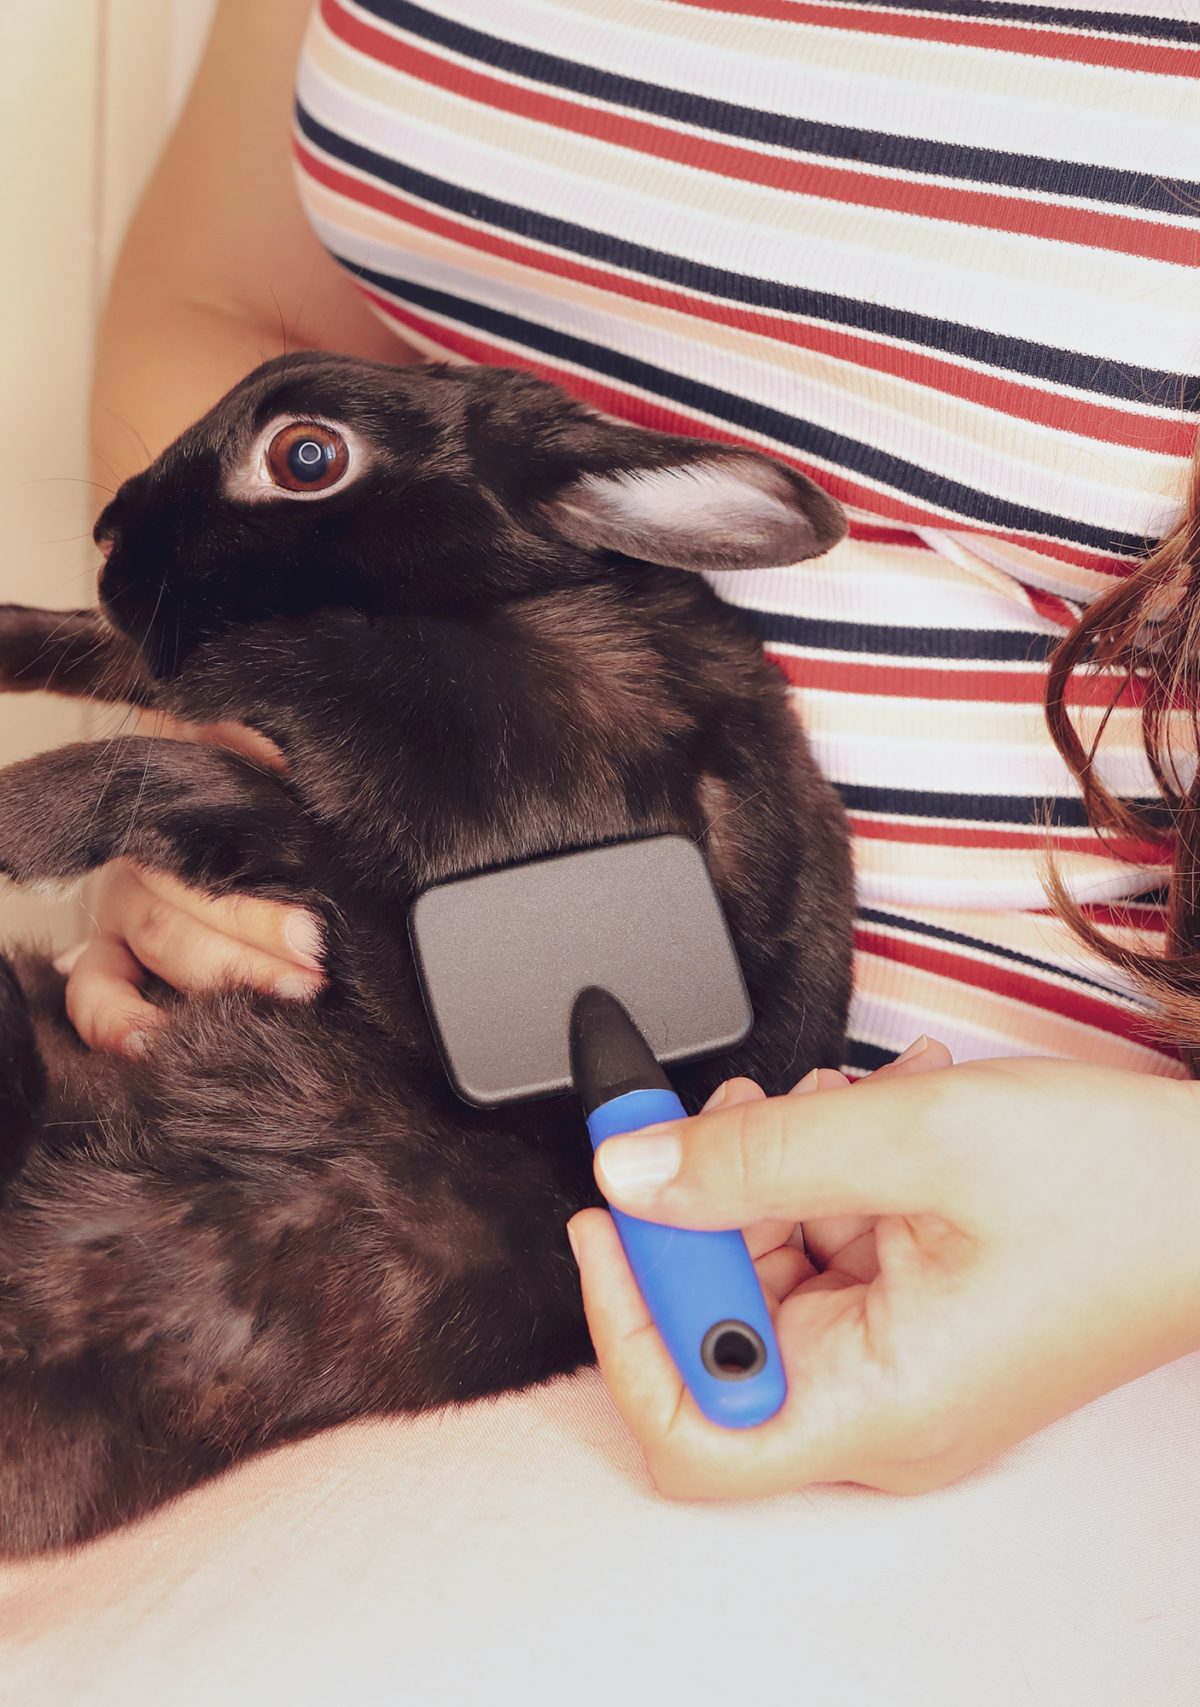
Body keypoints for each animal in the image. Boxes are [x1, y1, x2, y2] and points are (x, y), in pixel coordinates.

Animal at [0, 354, 853, 1554]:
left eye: (307, 455)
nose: (110, 533)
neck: (479, 610)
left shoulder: (438, 924)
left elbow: (216, 784)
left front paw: (19, 814)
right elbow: (123, 660)